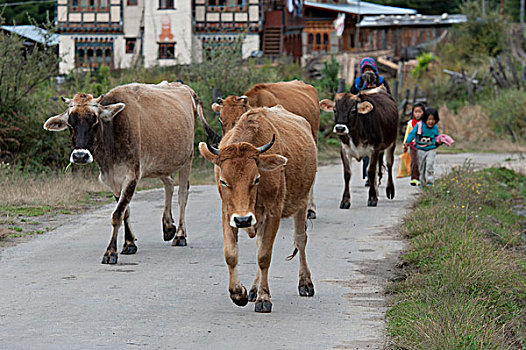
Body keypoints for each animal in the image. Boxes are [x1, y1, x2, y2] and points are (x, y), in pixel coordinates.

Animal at [43, 81, 208, 262]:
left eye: (95, 122)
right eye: (70, 124)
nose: (80, 156)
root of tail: (182, 86)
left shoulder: (132, 175)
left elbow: (117, 215)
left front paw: (110, 252)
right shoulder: (113, 179)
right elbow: (125, 212)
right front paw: (129, 244)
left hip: (187, 158)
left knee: (182, 195)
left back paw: (180, 235)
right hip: (162, 161)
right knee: (169, 184)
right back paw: (168, 227)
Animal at [199, 105, 318, 314]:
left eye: (256, 179)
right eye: (223, 181)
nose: (243, 220)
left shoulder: (273, 213)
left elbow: (264, 256)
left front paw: (264, 298)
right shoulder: (227, 213)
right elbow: (231, 254)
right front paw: (239, 293)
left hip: (302, 203)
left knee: (300, 240)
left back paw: (305, 283)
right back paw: (254, 289)